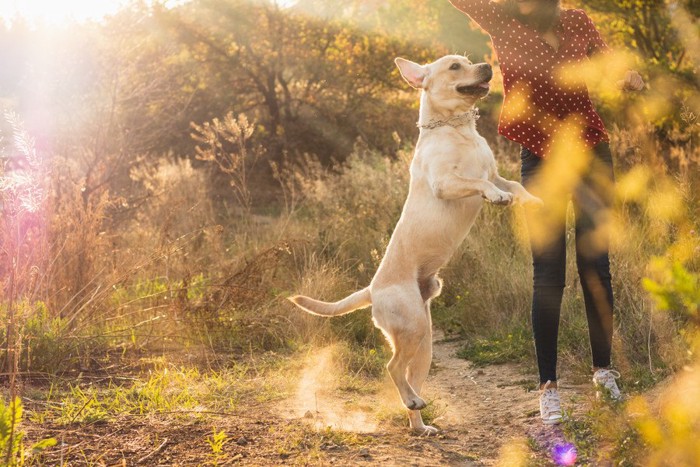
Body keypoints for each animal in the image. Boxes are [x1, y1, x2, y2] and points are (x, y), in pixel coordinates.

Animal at [288, 56, 544, 436]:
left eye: (468, 61)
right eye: (455, 66)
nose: (486, 64)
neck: (456, 127)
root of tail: (372, 290)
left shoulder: (496, 172)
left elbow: (512, 183)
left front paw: (532, 200)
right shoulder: (447, 182)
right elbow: (480, 183)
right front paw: (497, 197)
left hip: (424, 347)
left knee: (408, 377)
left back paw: (419, 423)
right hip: (412, 328)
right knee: (392, 368)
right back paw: (411, 403)